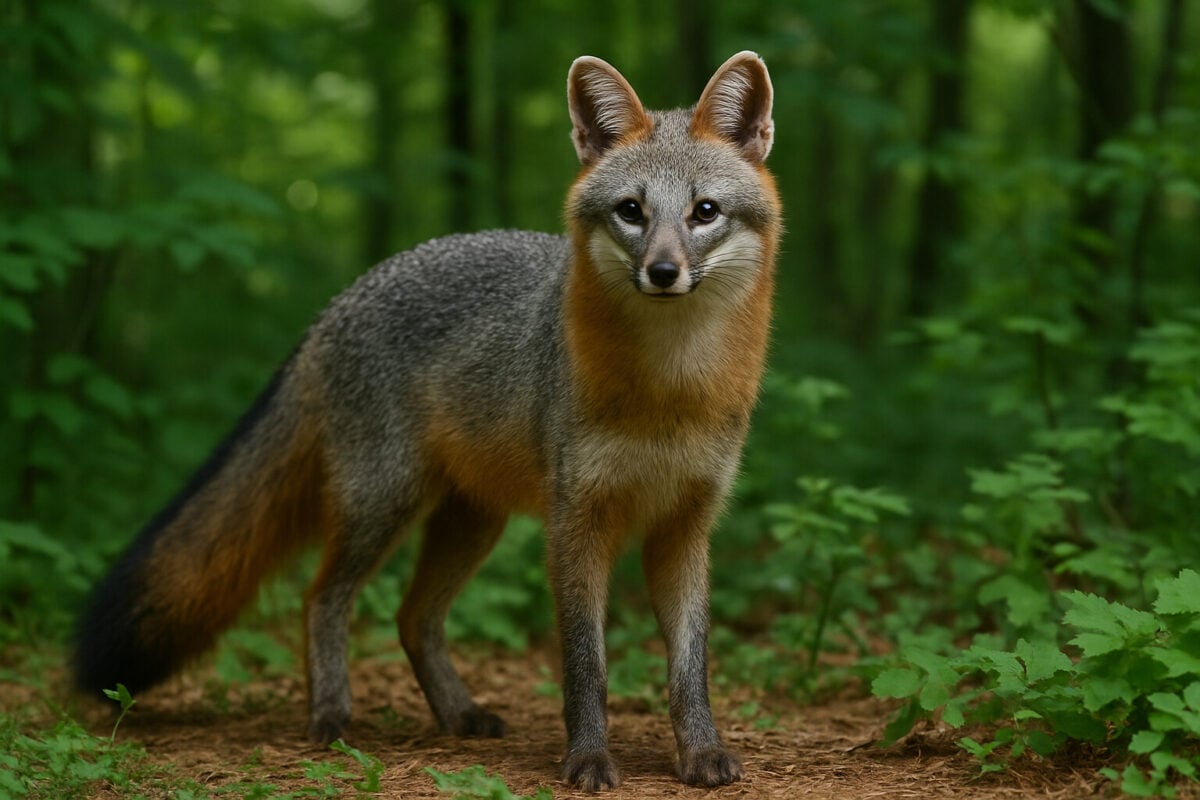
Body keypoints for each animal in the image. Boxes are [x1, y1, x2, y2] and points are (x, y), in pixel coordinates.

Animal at [73, 51, 780, 790]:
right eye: (632, 212)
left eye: (705, 212)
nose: (664, 271)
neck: (669, 393)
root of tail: (340, 302)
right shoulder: (577, 525)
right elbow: (586, 666)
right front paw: (587, 758)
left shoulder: (685, 527)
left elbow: (690, 669)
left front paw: (700, 752)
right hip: (383, 504)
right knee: (322, 598)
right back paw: (331, 716)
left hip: (470, 522)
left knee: (413, 618)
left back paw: (457, 714)